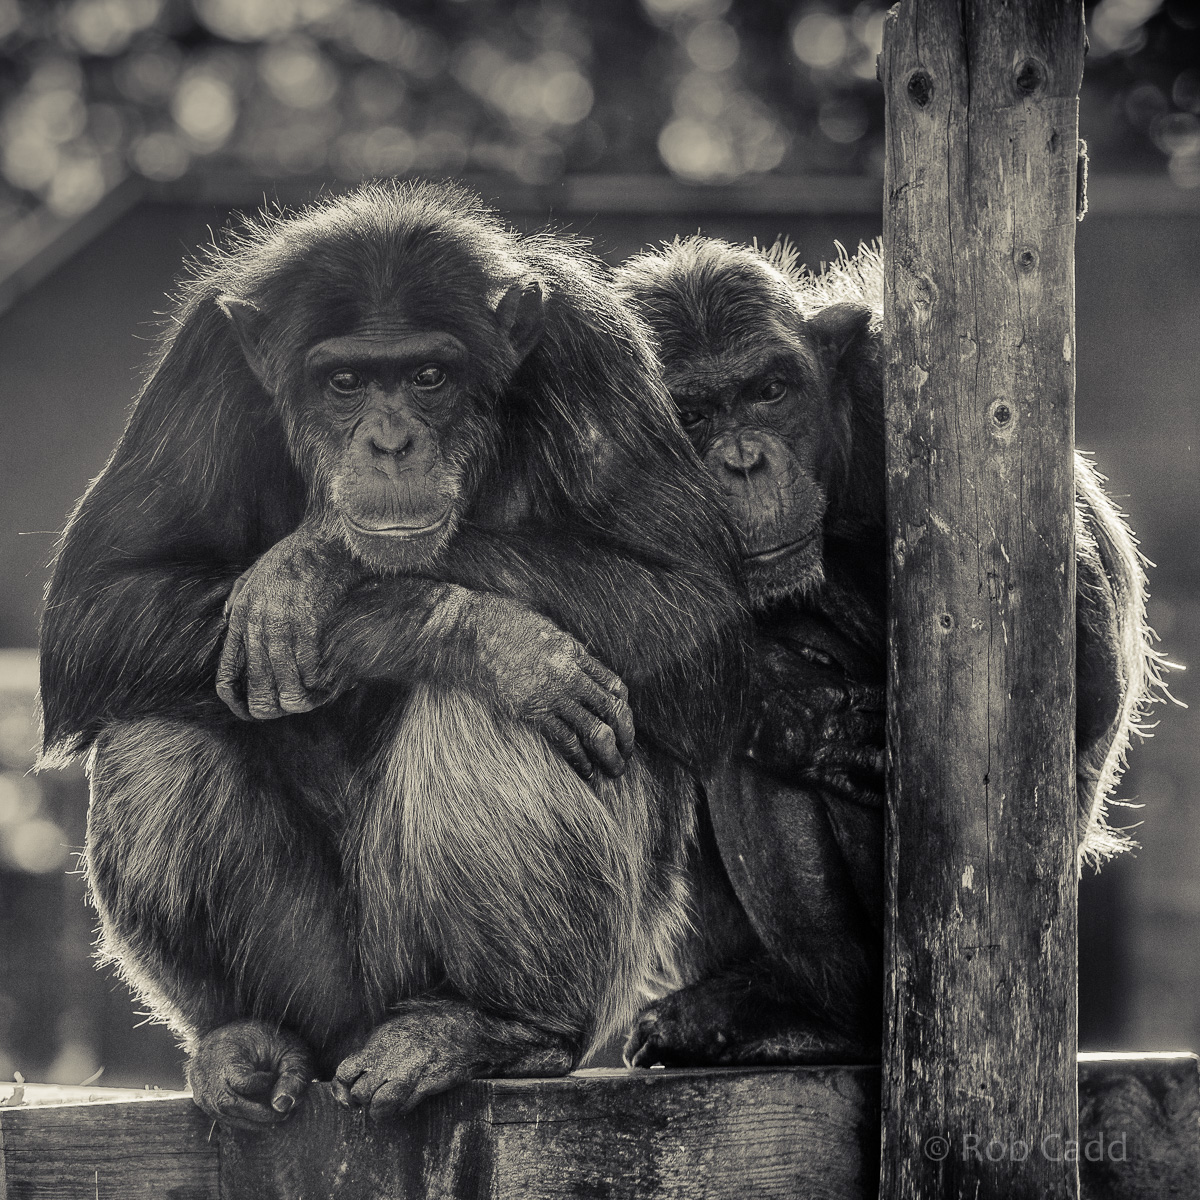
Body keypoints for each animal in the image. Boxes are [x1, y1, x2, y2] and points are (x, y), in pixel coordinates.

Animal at [38, 182, 746, 1127]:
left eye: (427, 377)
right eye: (345, 382)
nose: (390, 442)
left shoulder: (591, 348)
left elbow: (695, 612)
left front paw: (328, 570)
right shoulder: (202, 360)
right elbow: (96, 606)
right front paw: (435, 619)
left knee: (507, 709)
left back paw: (488, 1027)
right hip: (320, 984)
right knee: (153, 723)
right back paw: (245, 1040)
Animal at [613, 236, 1163, 1067]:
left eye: (770, 390)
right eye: (695, 413)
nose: (743, 459)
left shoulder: (900, 397)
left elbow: (1086, 666)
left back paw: (811, 1013)